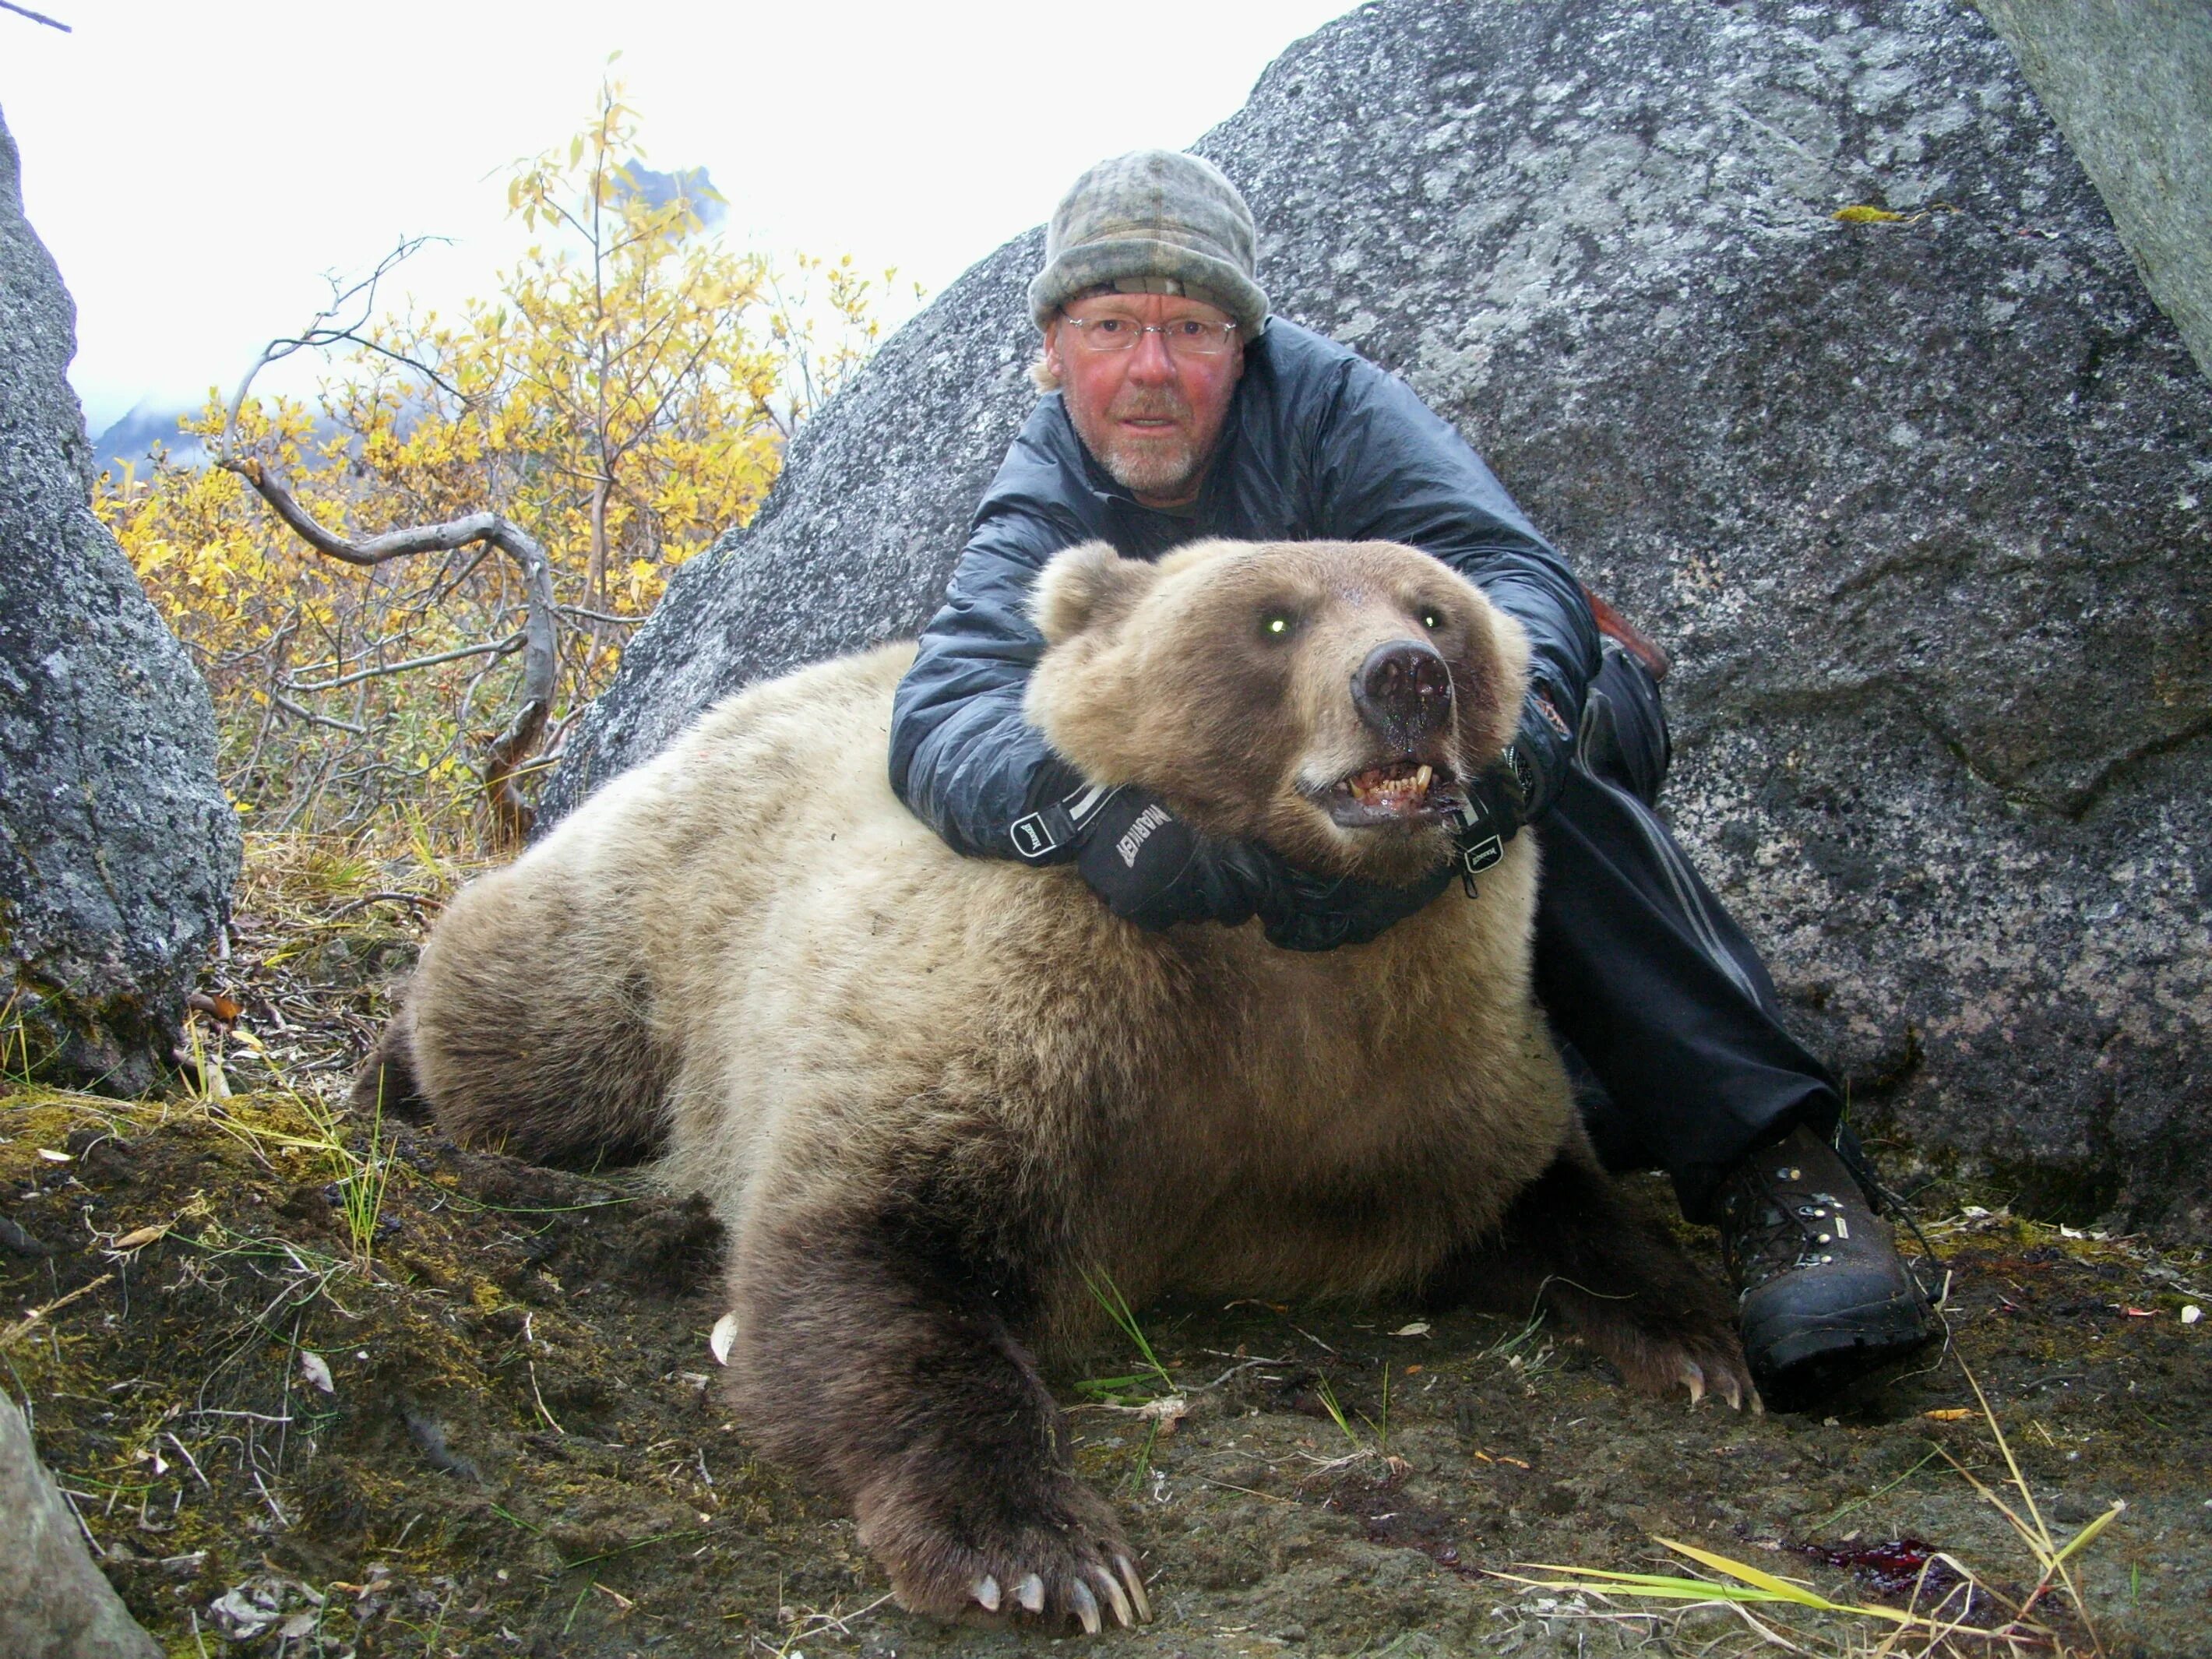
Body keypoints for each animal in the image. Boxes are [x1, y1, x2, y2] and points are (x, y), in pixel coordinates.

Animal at [358, 535, 1742, 1636]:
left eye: (1435, 607)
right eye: (1274, 616)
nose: (1404, 678)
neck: (1286, 960)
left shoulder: (1427, 1061)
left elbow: (1532, 1180)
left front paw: (1695, 1338)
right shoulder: (1024, 1009)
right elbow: (873, 1246)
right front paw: (1035, 1549)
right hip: (660, 927)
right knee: (527, 1022)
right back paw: (398, 1066)